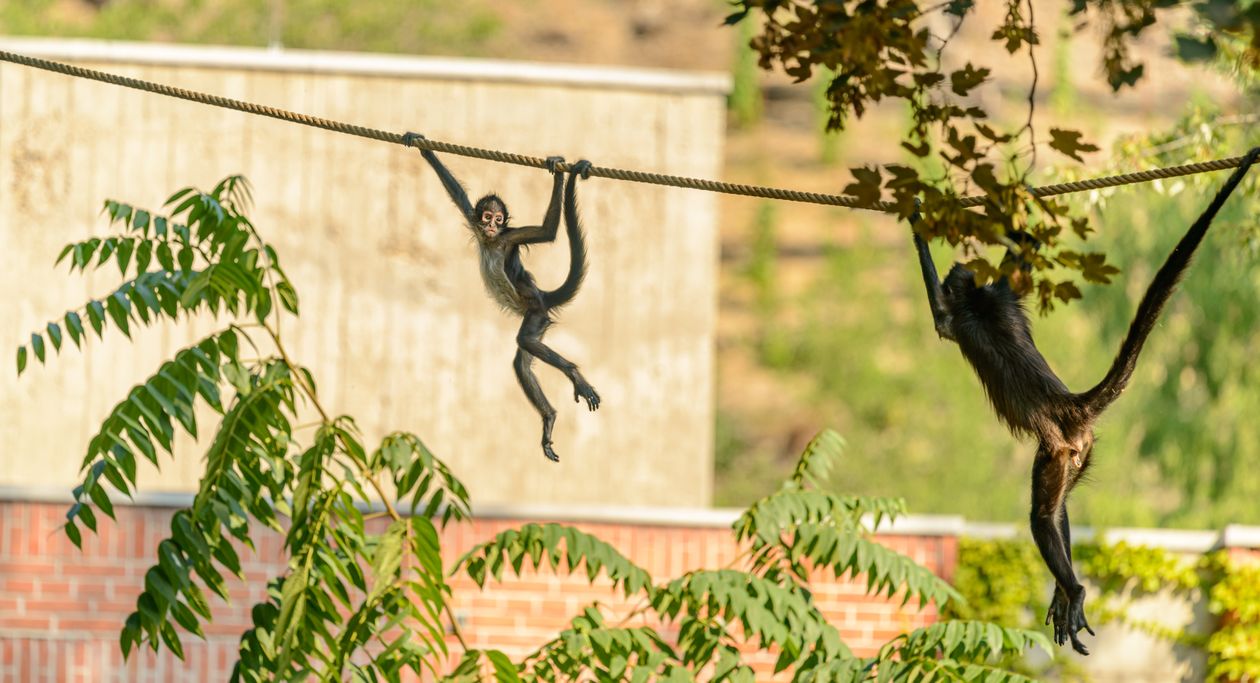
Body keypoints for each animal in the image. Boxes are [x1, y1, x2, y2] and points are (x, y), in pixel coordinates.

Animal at [404, 133, 600, 463]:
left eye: (498, 219)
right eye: (486, 216)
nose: (491, 225)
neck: (492, 241)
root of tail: (540, 296)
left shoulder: (510, 237)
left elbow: (548, 232)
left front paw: (556, 169)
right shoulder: (473, 222)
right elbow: (455, 191)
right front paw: (420, 144)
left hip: (535, 313)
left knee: (525, 341)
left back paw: (574, 374)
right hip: (536, 319)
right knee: (522, 362)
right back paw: (549, 417)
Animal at [909, 147, 1260, 655]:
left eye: (961, 278)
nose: (962, 268)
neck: (979, 298)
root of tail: (1069, 403)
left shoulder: (959, 316)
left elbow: (939, 312)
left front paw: (916, 217)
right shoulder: (1002, 290)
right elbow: (1024, 250)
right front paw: (1019, 197)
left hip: (1056, 450)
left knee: (1041, 517)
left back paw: (1073, 589)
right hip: (1080, 451)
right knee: (1058, 509)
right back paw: (1064, 592)